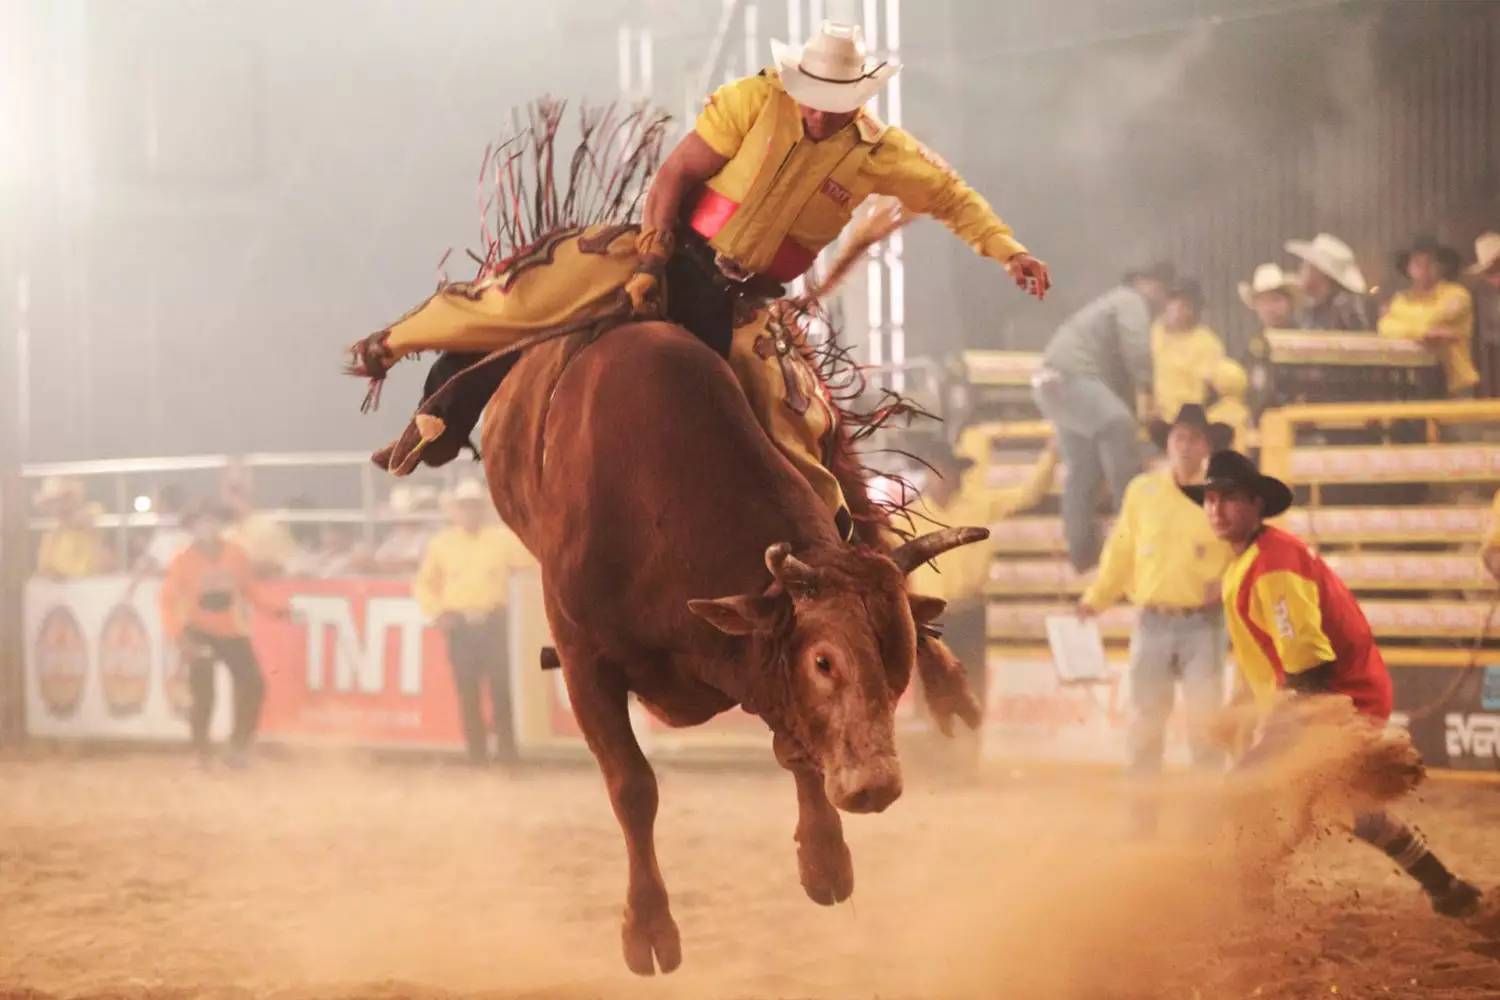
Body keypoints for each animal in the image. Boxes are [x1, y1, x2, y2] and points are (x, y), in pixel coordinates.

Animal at [486, 319, 990, 977]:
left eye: (894, 658)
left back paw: (951, 686)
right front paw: (648, 928)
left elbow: (797, 750)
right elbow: (632, 787)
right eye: (823, 661)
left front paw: (824, 859)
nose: (875, 784)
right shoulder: (582, 661)